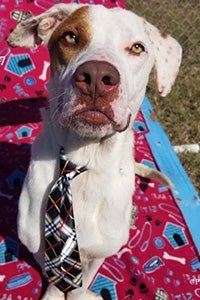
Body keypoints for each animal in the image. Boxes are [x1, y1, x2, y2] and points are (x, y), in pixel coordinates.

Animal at [6, 3, 181, 298]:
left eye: (137, 48)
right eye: (70, 37)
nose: (98, 76)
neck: (85, 162)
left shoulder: (98, 254)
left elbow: (79, 284)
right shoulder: (40, 247)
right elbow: (54, 278)